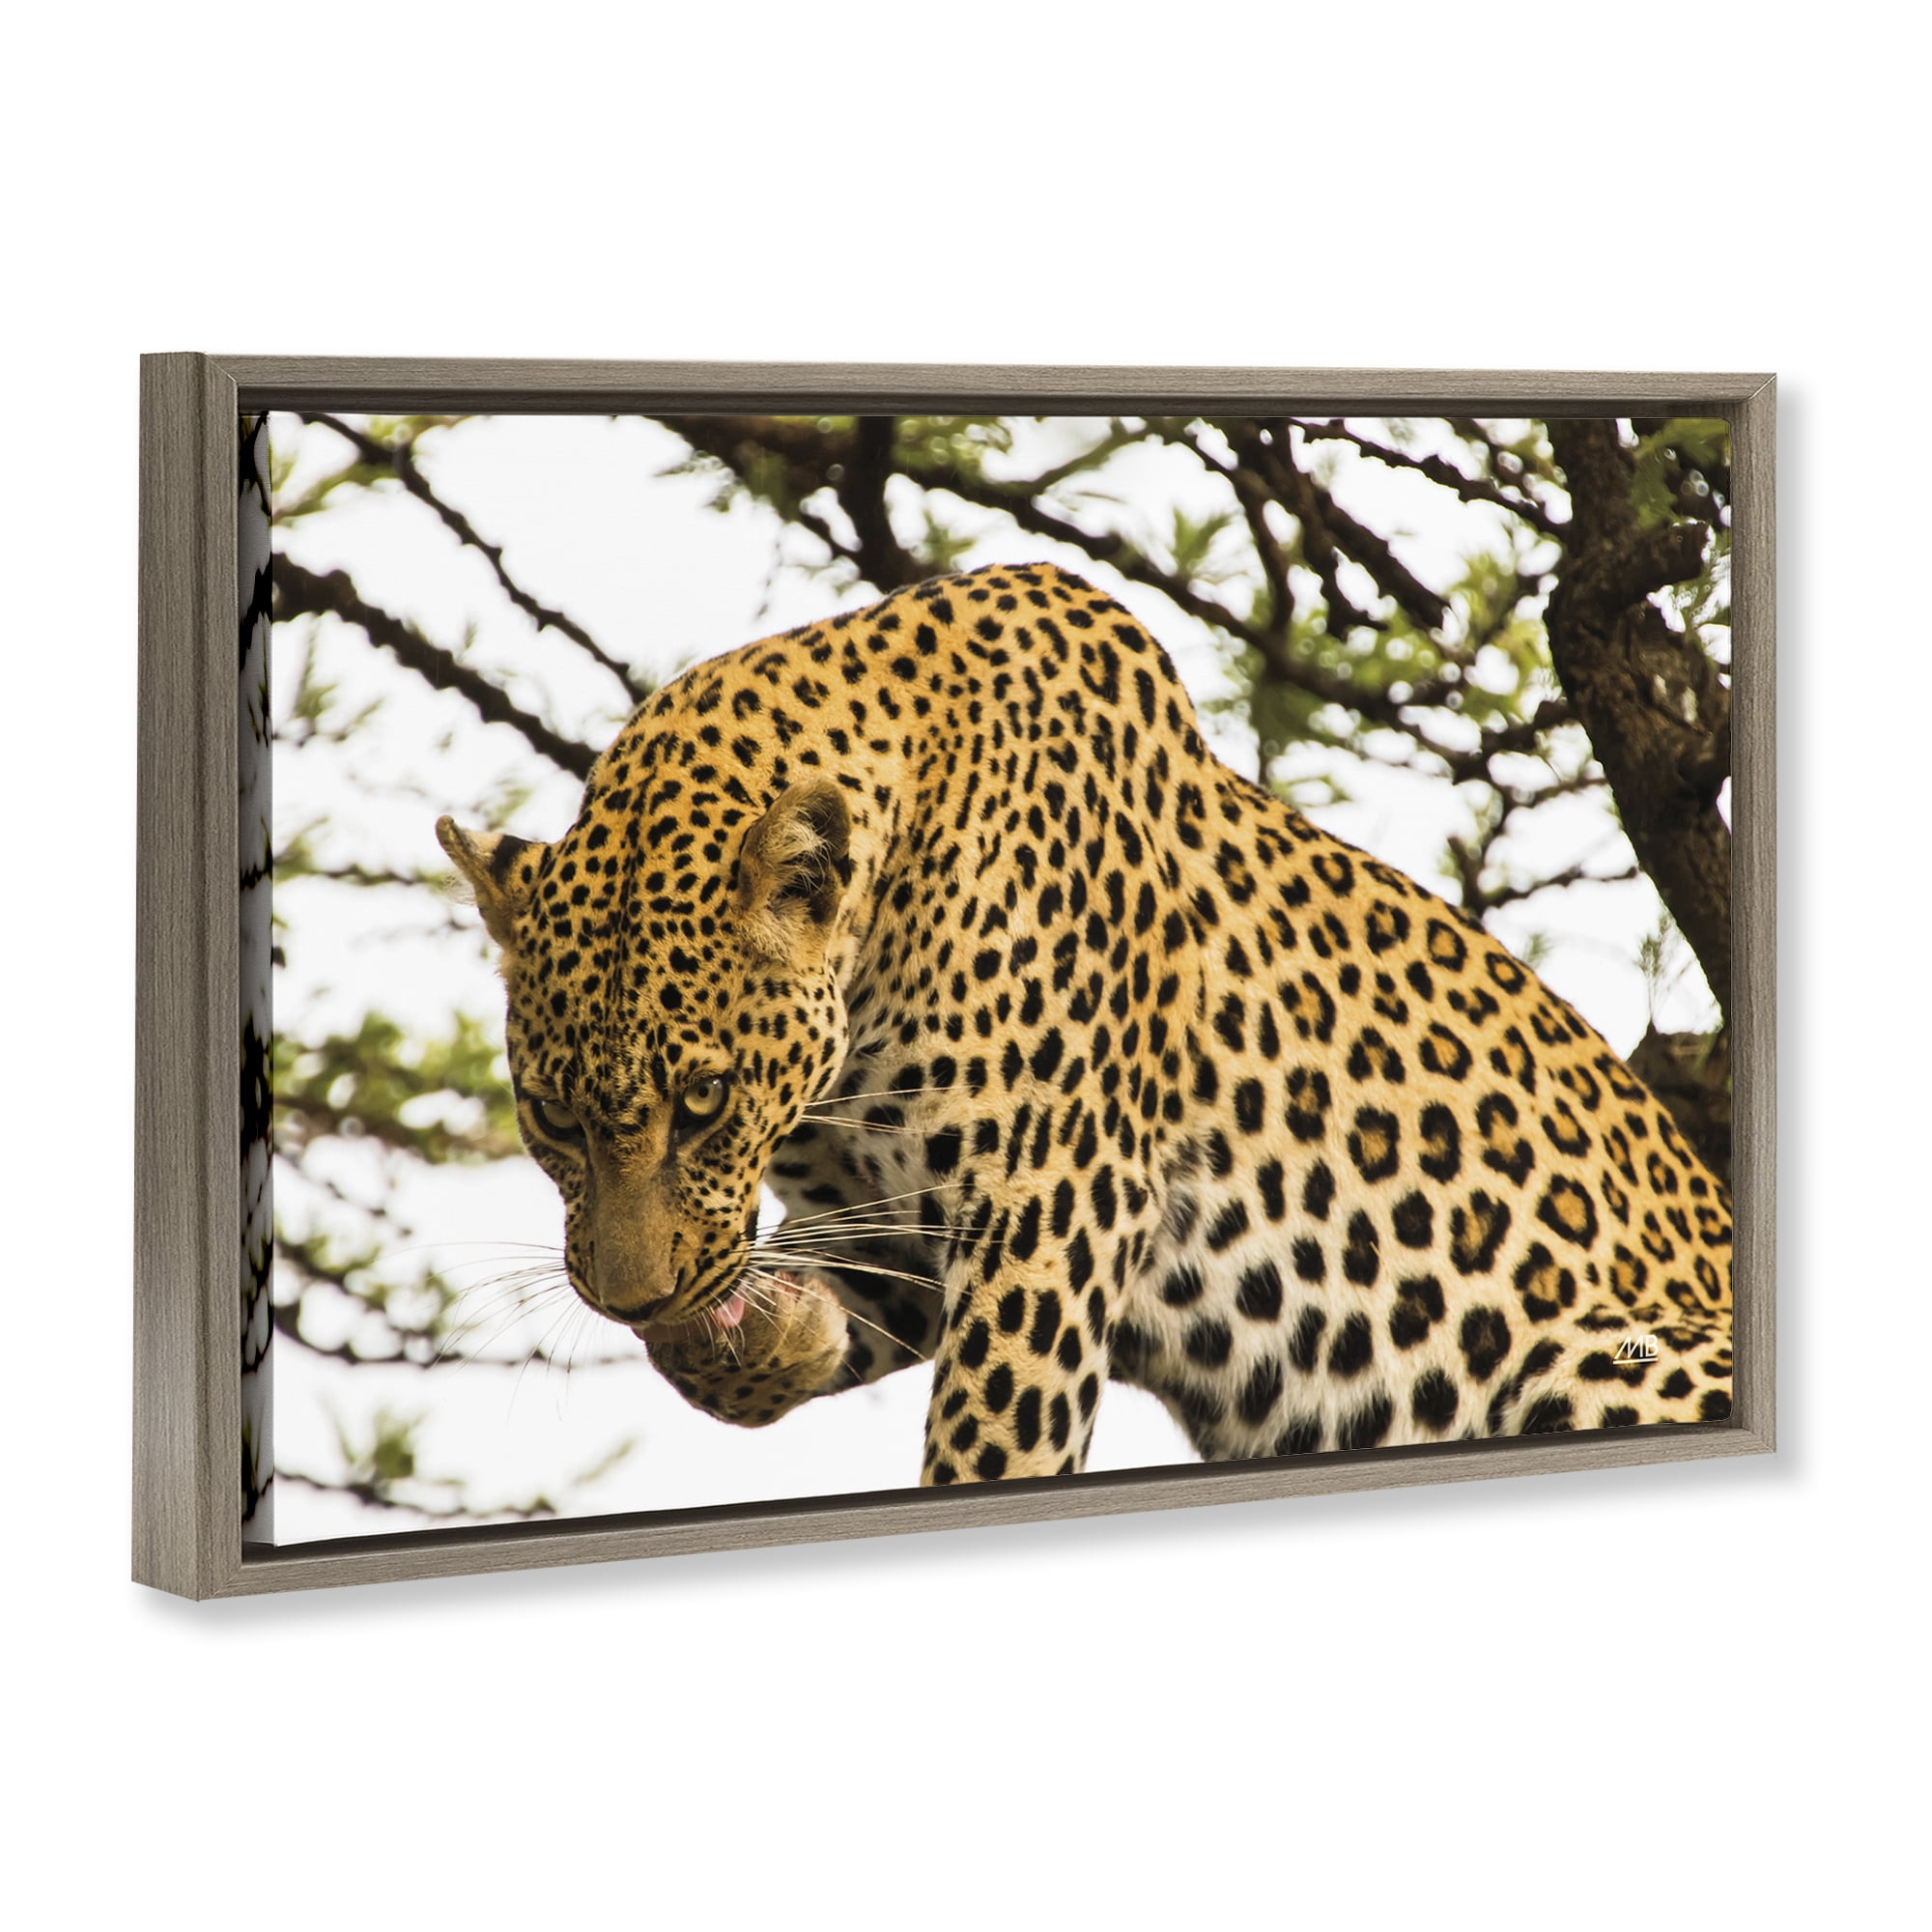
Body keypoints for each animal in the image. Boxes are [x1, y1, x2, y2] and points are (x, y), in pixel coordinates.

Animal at [438, 561, 1733, 1486]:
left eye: (702, 1100)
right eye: (550, 1116)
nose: (627, 1298)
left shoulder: (1044, 1217)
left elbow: (989, 1446)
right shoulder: (893, 1228)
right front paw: (770, 1330)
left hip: (1599, 1352)